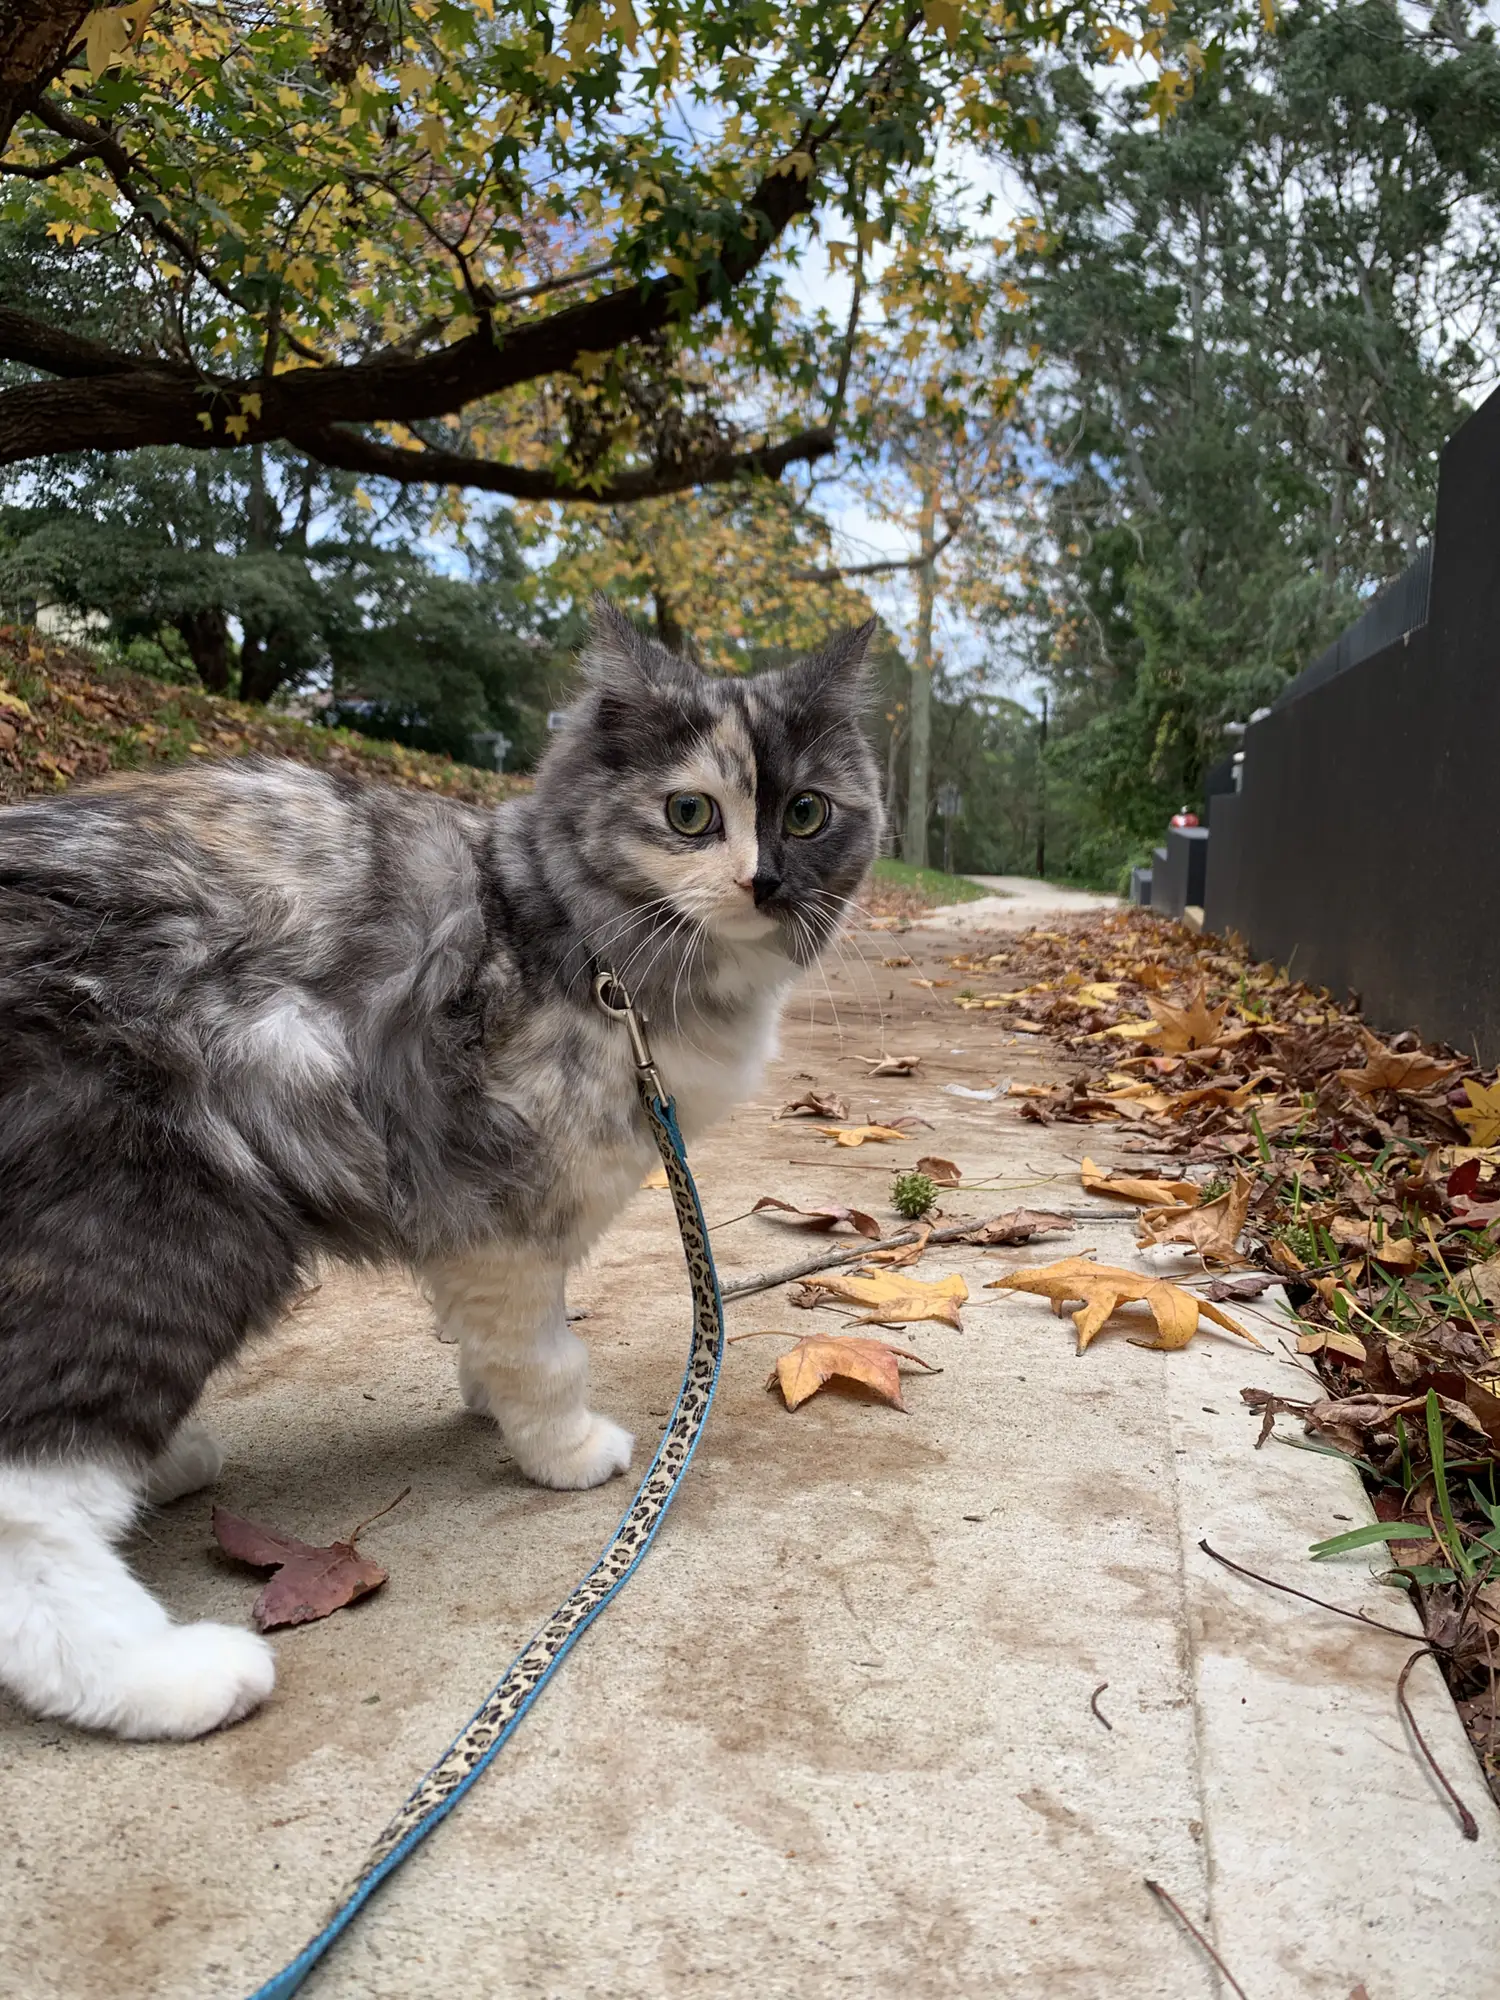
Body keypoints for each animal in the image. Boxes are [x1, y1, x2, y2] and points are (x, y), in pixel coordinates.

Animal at [0, 604, 880, 1736]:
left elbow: (498, 1336)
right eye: (691, 814)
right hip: (168, 1221)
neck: (562, 930)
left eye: (807, 813)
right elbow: (545, 1353)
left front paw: (485, 1396)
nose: (764, 880)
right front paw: (560, 1446)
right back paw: (168, 1675)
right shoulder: (491, 1191)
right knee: (28, 1503)